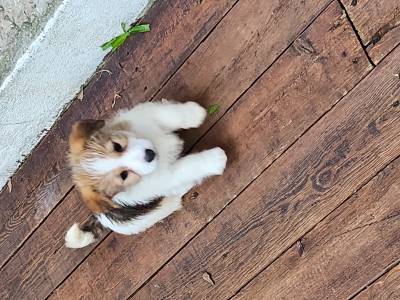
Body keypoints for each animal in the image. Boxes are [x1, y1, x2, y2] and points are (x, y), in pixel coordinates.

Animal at [66, 101, 228, 248]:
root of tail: (101, 219)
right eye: (124, 175)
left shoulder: (145, 115)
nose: (150, 154)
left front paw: (194, 113)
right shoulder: (167, 176)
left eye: (117, 146)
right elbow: (188, 166)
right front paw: (214, 160)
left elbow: (170, 115)